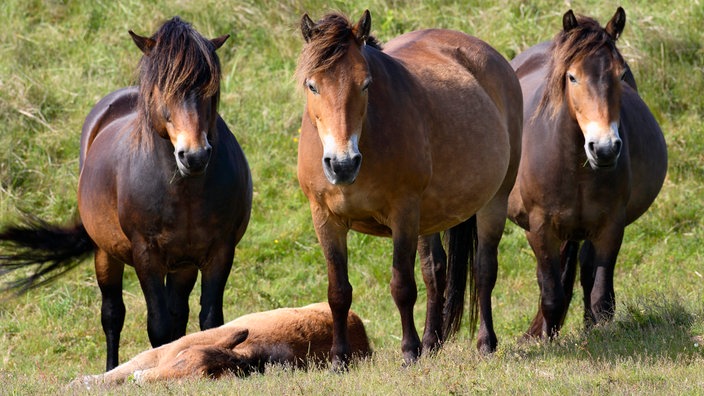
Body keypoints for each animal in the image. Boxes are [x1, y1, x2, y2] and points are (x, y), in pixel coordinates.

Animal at [0, 17, 253, 372]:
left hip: (183, 265)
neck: (184, 192)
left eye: (210, 88)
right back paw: (110, 368)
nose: (194, 155)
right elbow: (157, 326)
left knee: (178, 314)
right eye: (163, 87)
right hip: (105, 254)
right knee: (112, 314)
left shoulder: (220, 251)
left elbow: (209, 321)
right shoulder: (147, 255)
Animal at [296, 10, 524, 366]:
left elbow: (402, 286)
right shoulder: (325, 218)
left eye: (365, 83)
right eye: (312, 85)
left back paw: (485, 342)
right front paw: (339, 359)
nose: (342, 164)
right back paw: (431, 341)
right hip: (428, 218)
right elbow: (338, 291)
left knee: (484, 269)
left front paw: (409, 351)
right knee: (435, 271)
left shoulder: (403, 213)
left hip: (493, 202)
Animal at [508, 7, 668, 338]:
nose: (604, 148)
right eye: (572, 77)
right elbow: (551, 294)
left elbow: (600, 296)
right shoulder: (539, 229)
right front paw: (547, 338)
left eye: (620, 74)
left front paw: (599, 334)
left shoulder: (610, 226)